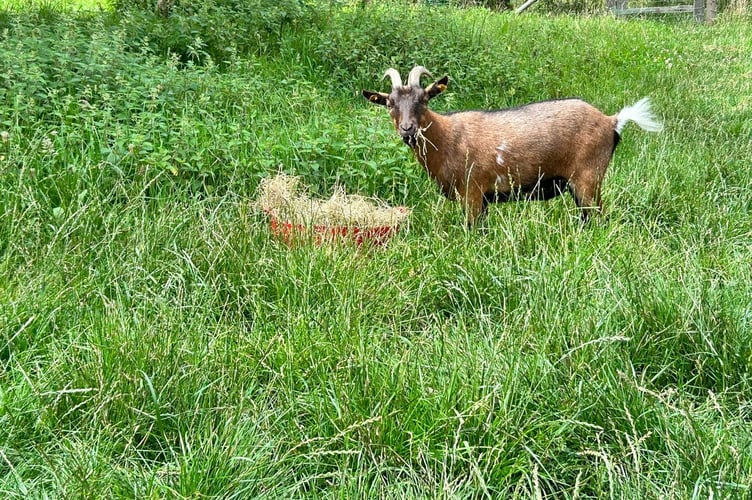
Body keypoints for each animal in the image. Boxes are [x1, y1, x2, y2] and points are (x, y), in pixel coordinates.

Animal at [364, 66, 664, 225]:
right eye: (390, 103)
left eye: (424, 100)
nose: (407, 129)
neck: (447, 138)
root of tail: (612, 120)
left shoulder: (473, 192)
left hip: (587, 179)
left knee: (597, 218)